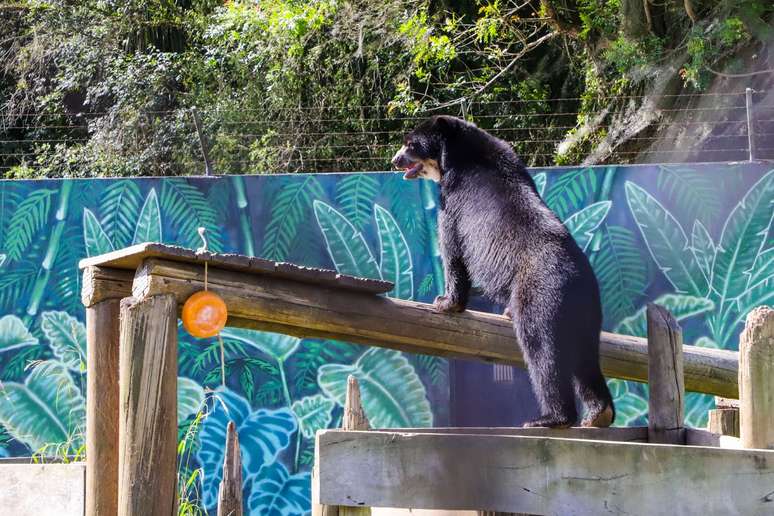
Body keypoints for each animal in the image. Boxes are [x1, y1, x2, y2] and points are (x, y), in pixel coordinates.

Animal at [391, 115, 614, 428]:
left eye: (411, 144)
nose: (395, 160)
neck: (460, 151)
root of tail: (576, 280)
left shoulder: (452, 200)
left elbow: (453, 250)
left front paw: (445, 302)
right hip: (587, 313)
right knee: (586, 356)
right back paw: (598, 414)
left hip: (539, 296)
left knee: (542, 351)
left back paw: (549, 418)